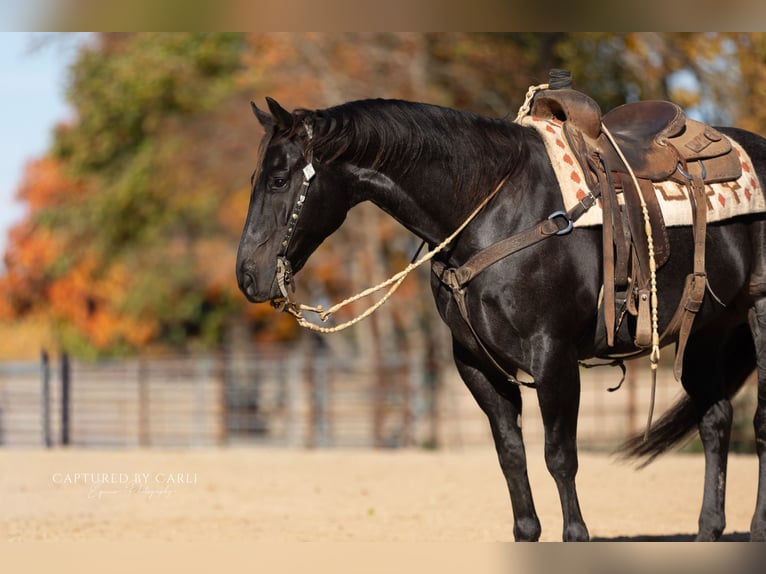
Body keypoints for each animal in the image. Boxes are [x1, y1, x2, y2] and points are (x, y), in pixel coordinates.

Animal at [235, 94, 766, 542]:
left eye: (279, 180)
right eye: (253, 179)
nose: (246, 275)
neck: (493, 210)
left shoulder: (553, 357)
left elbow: (559, 456)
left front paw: (576, 535)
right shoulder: (476, 364)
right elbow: (511, 455)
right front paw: (527, 532)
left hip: (758, 314)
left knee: (757, 422)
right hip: (707, 329)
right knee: (716, 419)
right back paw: (708, 530)